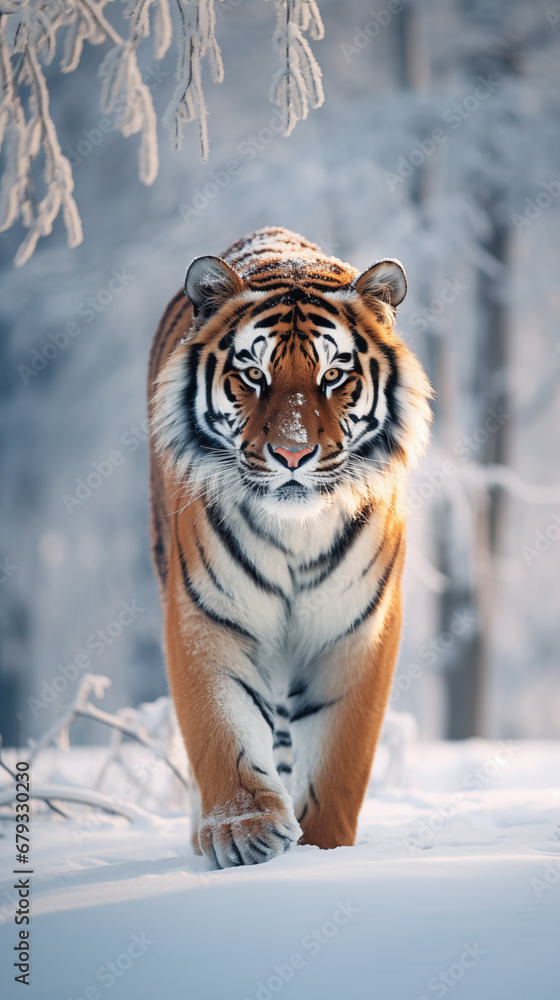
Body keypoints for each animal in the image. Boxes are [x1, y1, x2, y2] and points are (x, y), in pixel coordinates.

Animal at [148, 226, 432, 869]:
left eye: (333, 376)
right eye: (253, 375)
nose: (293, 454)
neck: (296, 532)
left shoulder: (358, 627)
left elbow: (339, 757)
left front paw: (323, 848)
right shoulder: (207, 615)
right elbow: (220, 724)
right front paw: (244, 832)